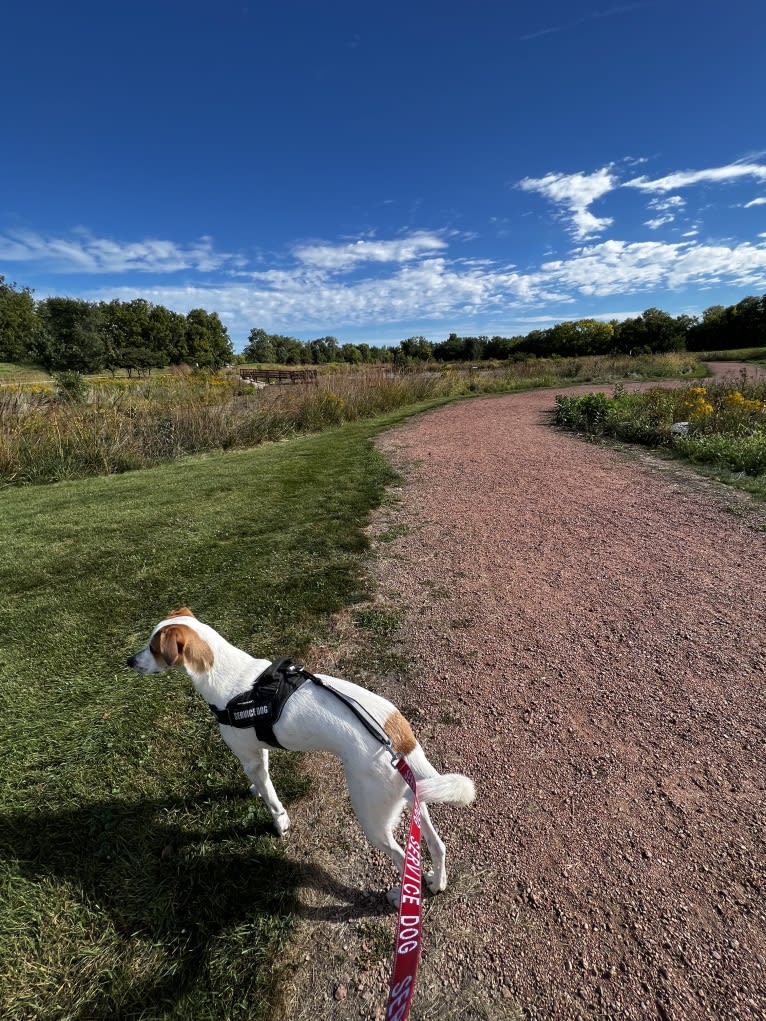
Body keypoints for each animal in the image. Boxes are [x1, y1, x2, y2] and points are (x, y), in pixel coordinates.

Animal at [126, 604, 473, 902]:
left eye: (153, 648)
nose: (128, 661)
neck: (227, 675)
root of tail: (399, 735)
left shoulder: (250, 757)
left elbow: (271, 799)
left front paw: (280, 822)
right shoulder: (258, 753)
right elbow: (262, 781)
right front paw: (256, 790)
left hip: (372, 817)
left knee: (404, 860)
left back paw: (399, 894)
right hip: (414, 797)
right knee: (437, 846)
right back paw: (436, 882)